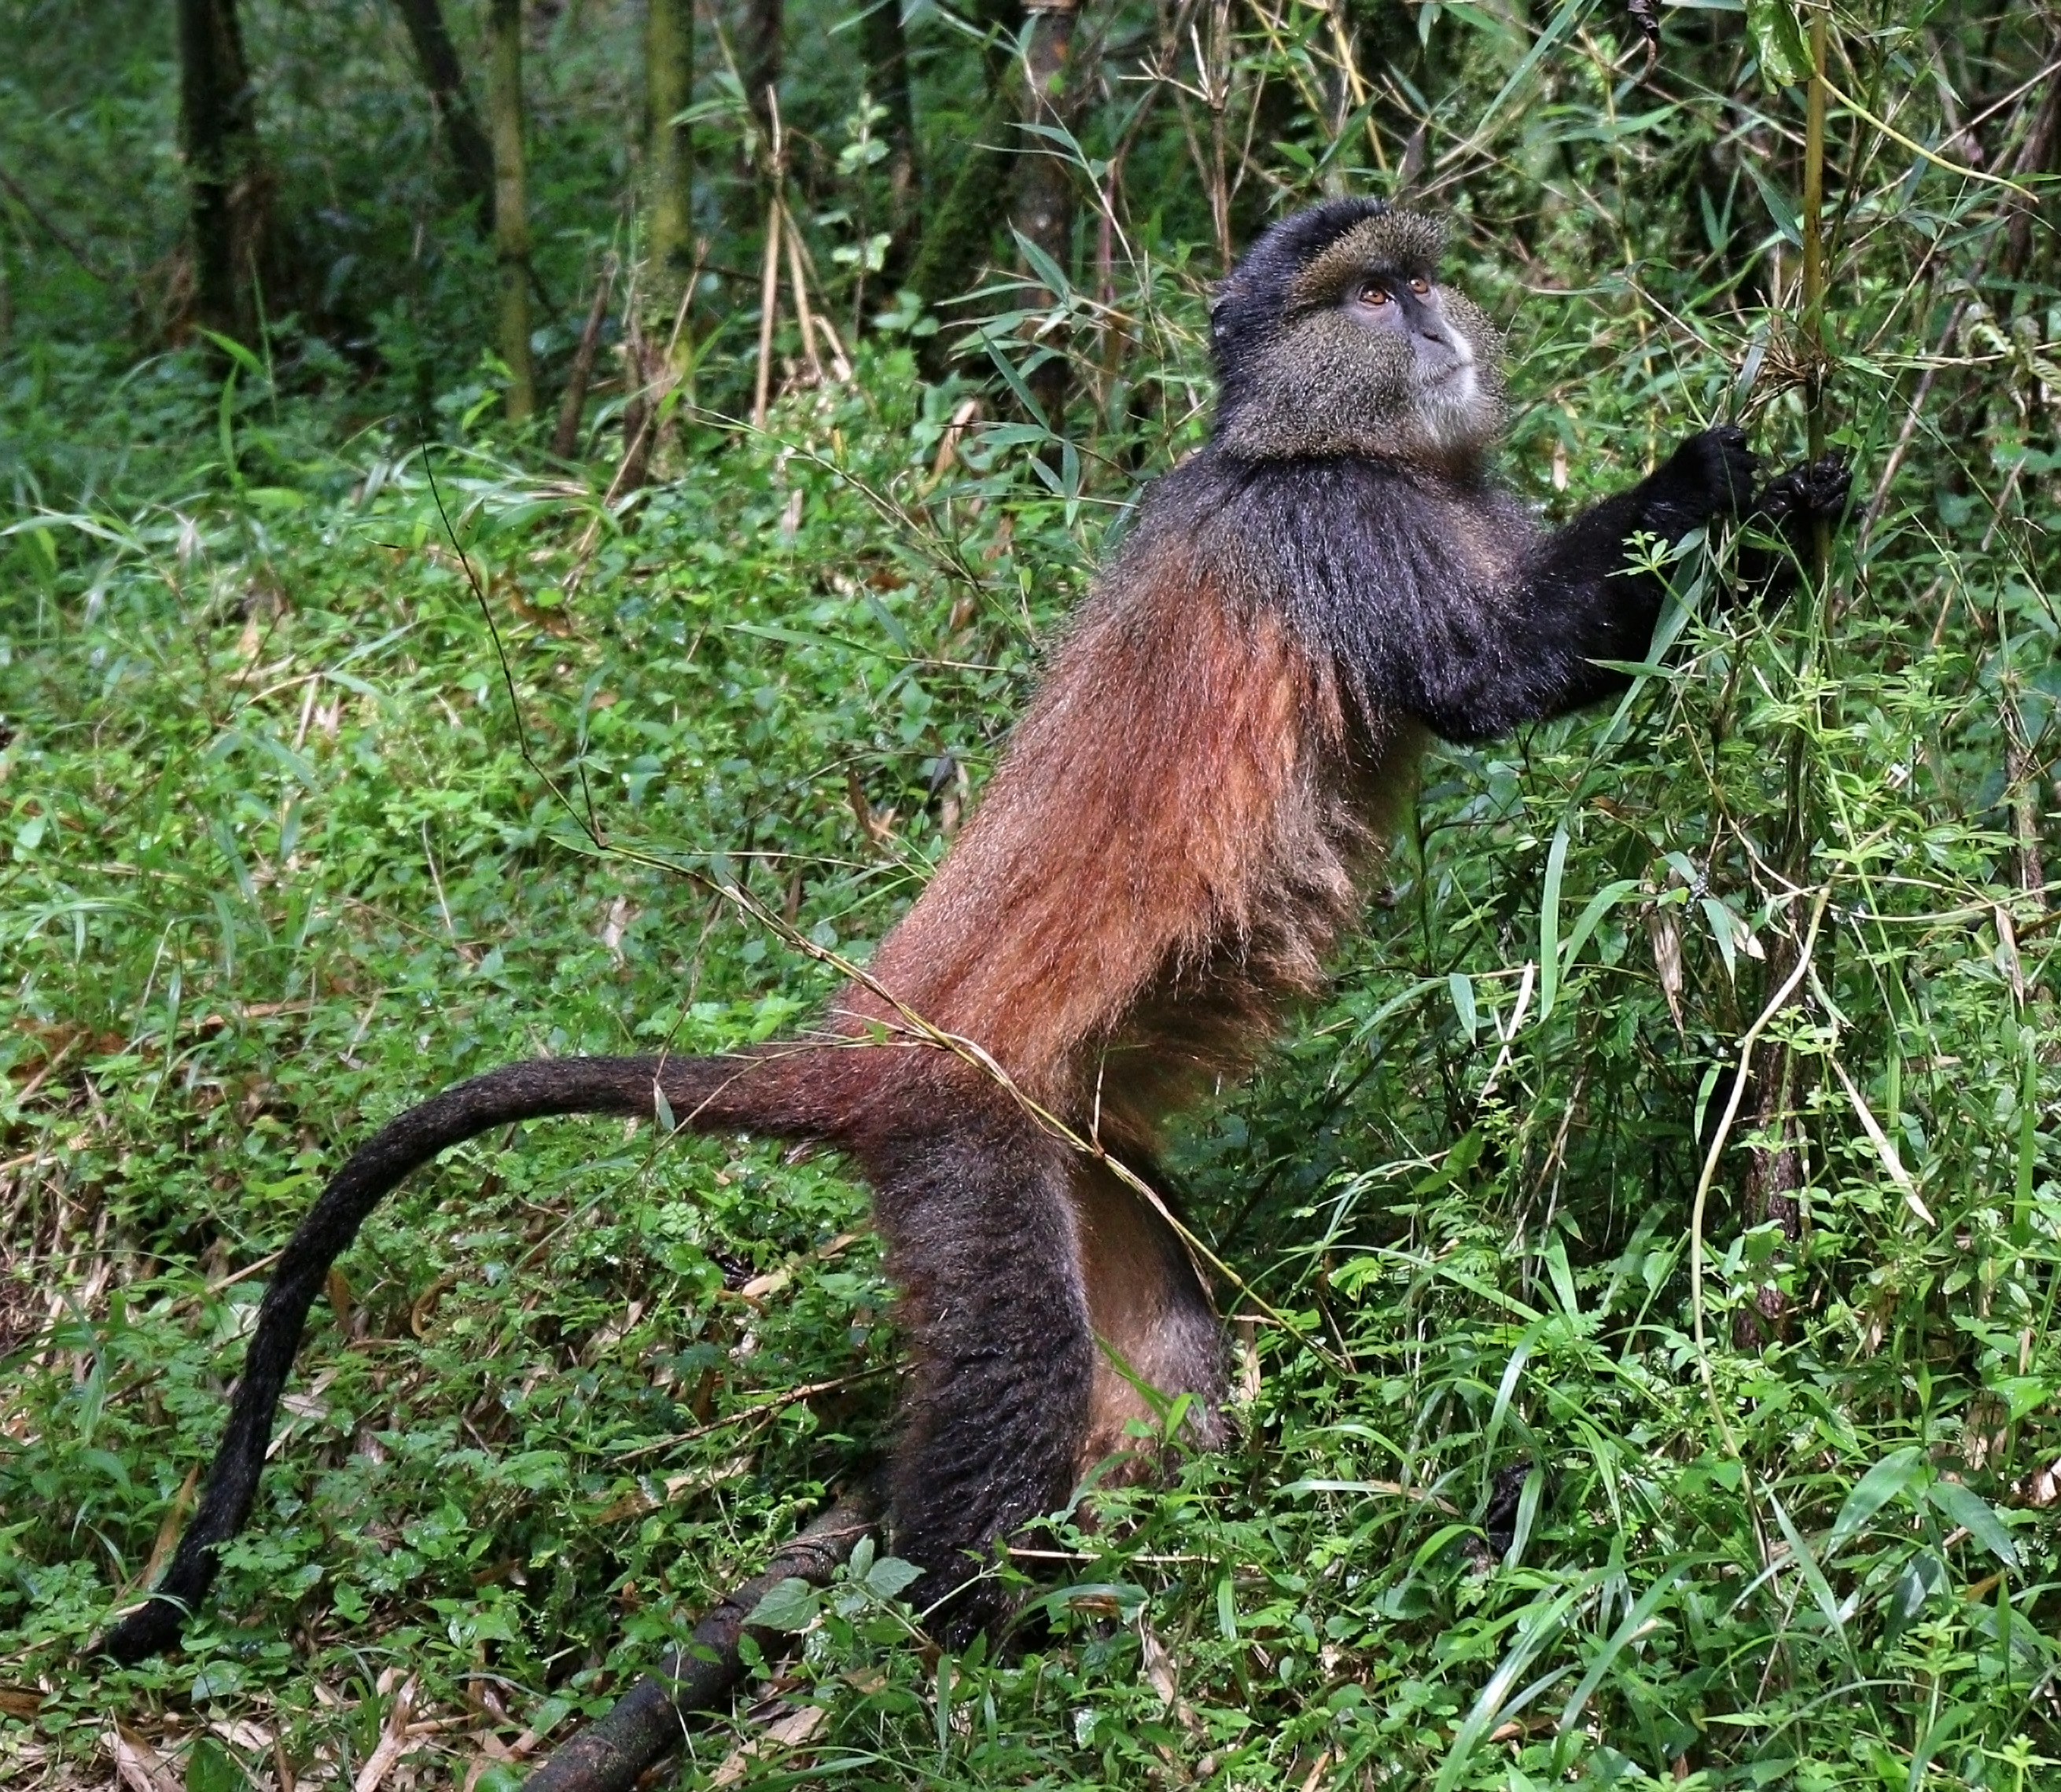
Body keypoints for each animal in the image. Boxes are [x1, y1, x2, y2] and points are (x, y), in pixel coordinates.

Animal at [99, 197, 1850, 1663]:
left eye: (1420, 274)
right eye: (1366, 292)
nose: (1438, 325)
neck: (1299, 444)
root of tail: (865, 1039)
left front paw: (1792, 510)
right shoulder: (1335, 534)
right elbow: (1511, 672)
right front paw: (1723, 477)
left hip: (1086, 1159)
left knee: (1164, 1366)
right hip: (971, 1151)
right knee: (1011, 1387)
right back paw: (989, 1628)